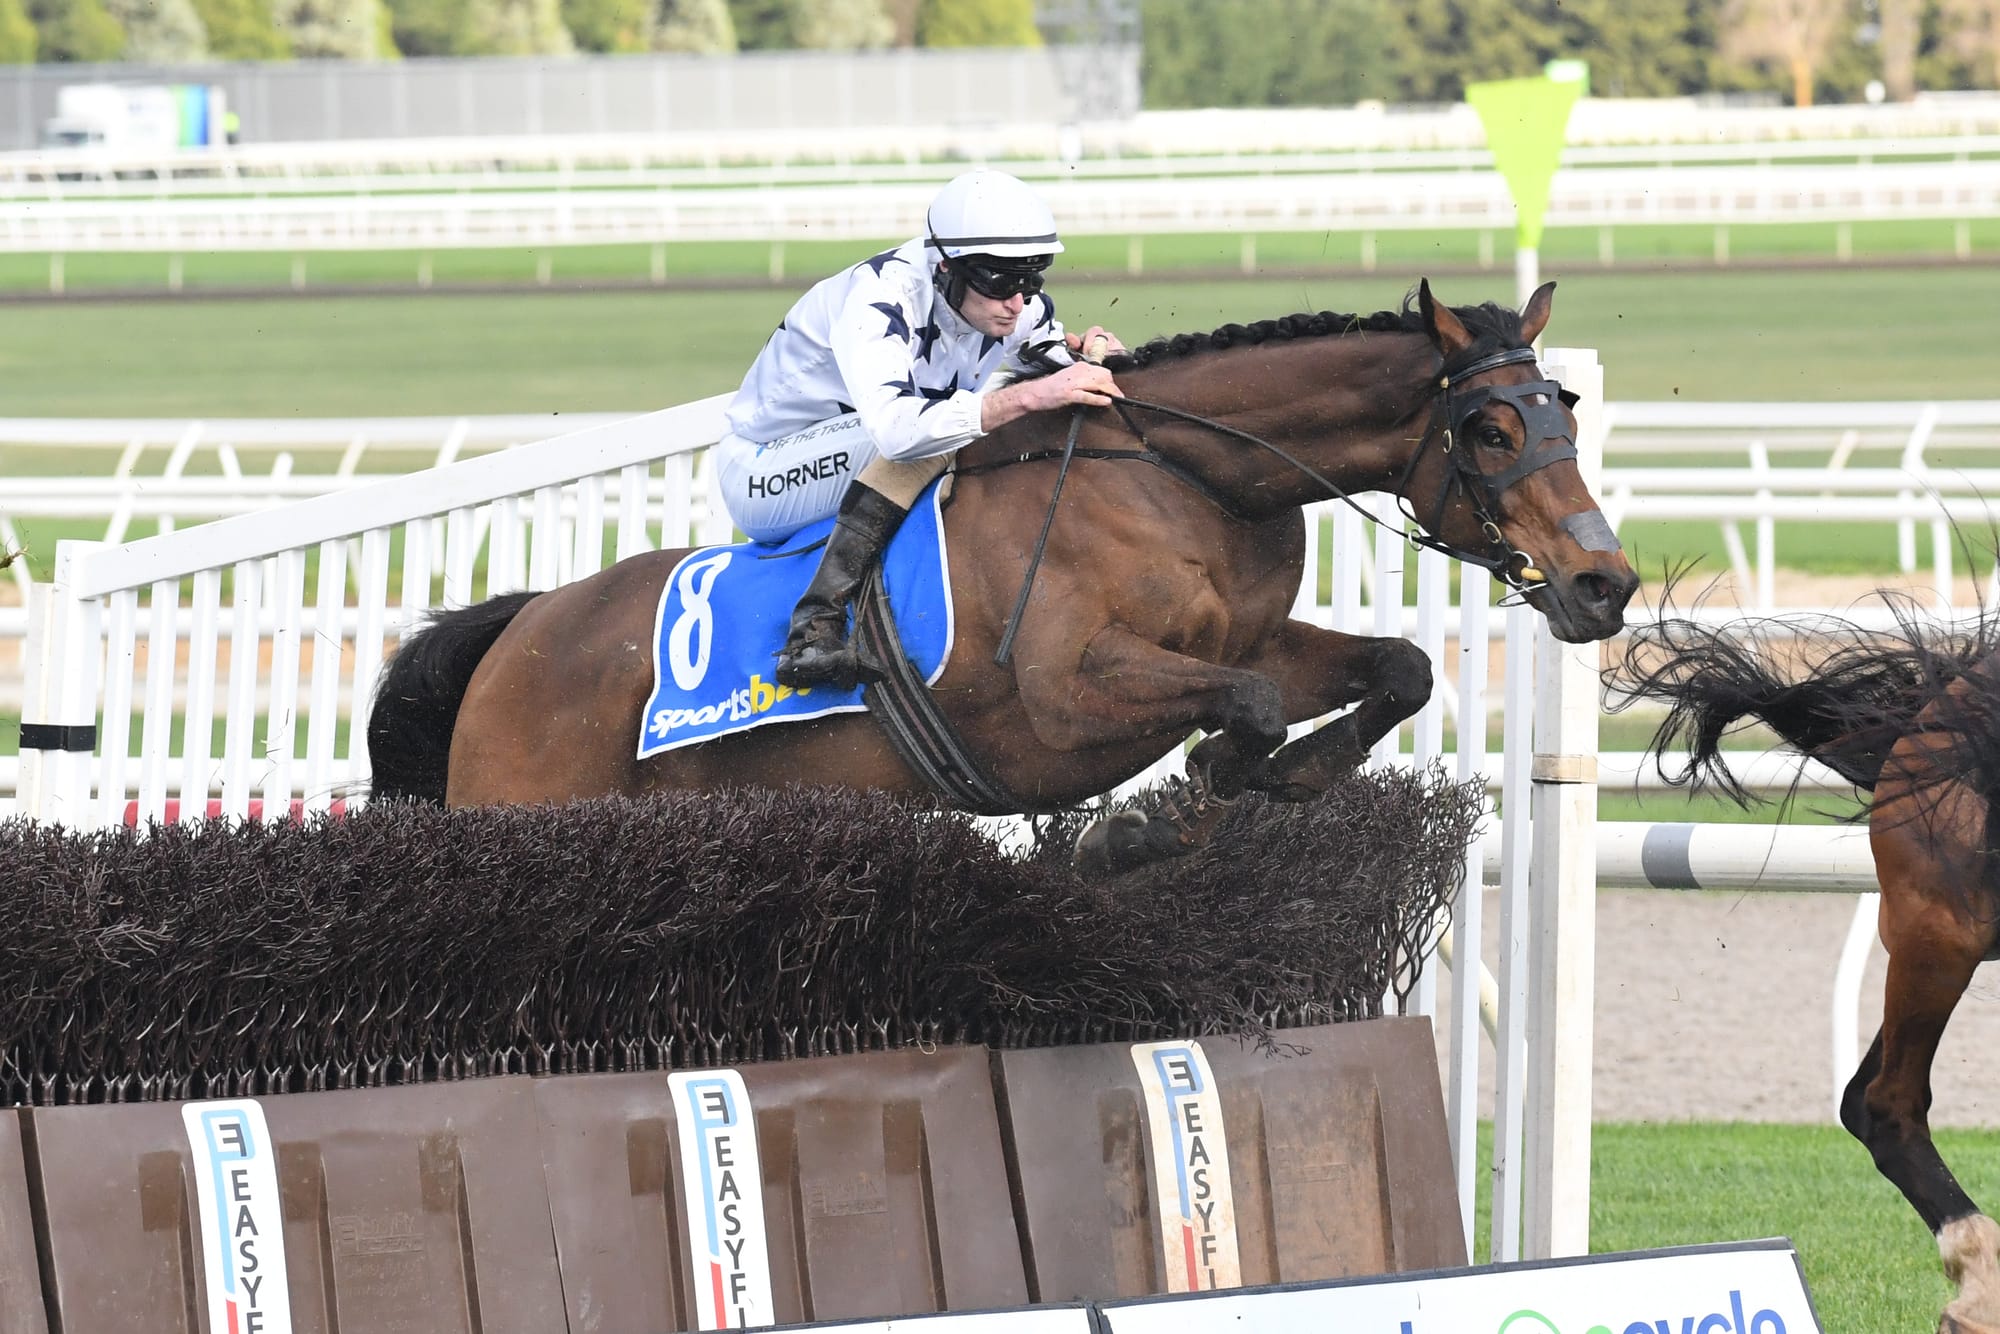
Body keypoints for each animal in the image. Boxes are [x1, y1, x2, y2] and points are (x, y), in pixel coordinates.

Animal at [368, 280, 1632, 876]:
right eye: (1486, 429)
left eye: (1562, 409)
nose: (1602, 583)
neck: (1184, 477)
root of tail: (519, 629)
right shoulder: (1063, 691)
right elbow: (1248, 707)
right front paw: (1163, 812)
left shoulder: (1249, 633)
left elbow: (1393, 668)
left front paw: (1282, 776)